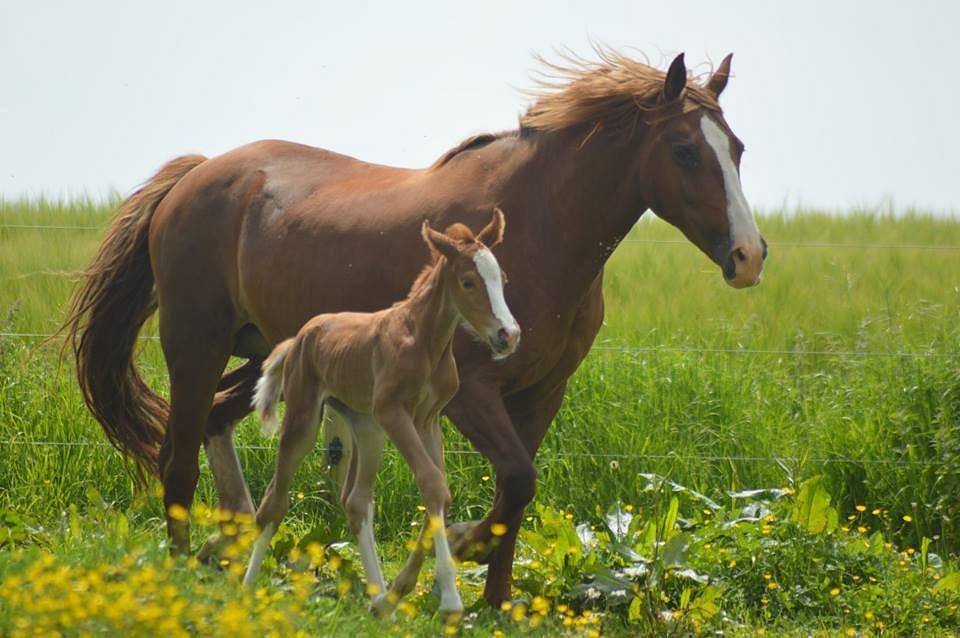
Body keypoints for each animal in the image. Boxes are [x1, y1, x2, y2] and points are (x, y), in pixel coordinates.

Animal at [244, 210, 520, 616]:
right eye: (468, 282)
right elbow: (432, 483)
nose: (508, 335)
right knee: (274, 501)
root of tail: (300, 337)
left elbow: (440, 490)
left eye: (502, 279)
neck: (423, 342)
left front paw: (401, 591)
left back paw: (378, 598)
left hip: (367, 426)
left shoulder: (427, 418)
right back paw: (246, 585)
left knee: (356, 501)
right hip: (305, 417)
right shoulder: (394, 410)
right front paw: (450, 599)